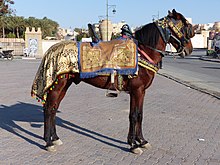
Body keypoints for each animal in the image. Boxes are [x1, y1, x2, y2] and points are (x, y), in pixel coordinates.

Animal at [31, 9, 196, 154]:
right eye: (186, 27)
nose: (189, 49)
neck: (142, 53)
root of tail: (51, 50)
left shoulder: (140, 92)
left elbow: (139, 115)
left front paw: (141, 141)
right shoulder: (137, 91)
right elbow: (134, 115)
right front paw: (133, 144)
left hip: (64, 85)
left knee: (53, 108)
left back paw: (55, 138)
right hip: (58, 86)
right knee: (49, 109)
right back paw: (48, 142)